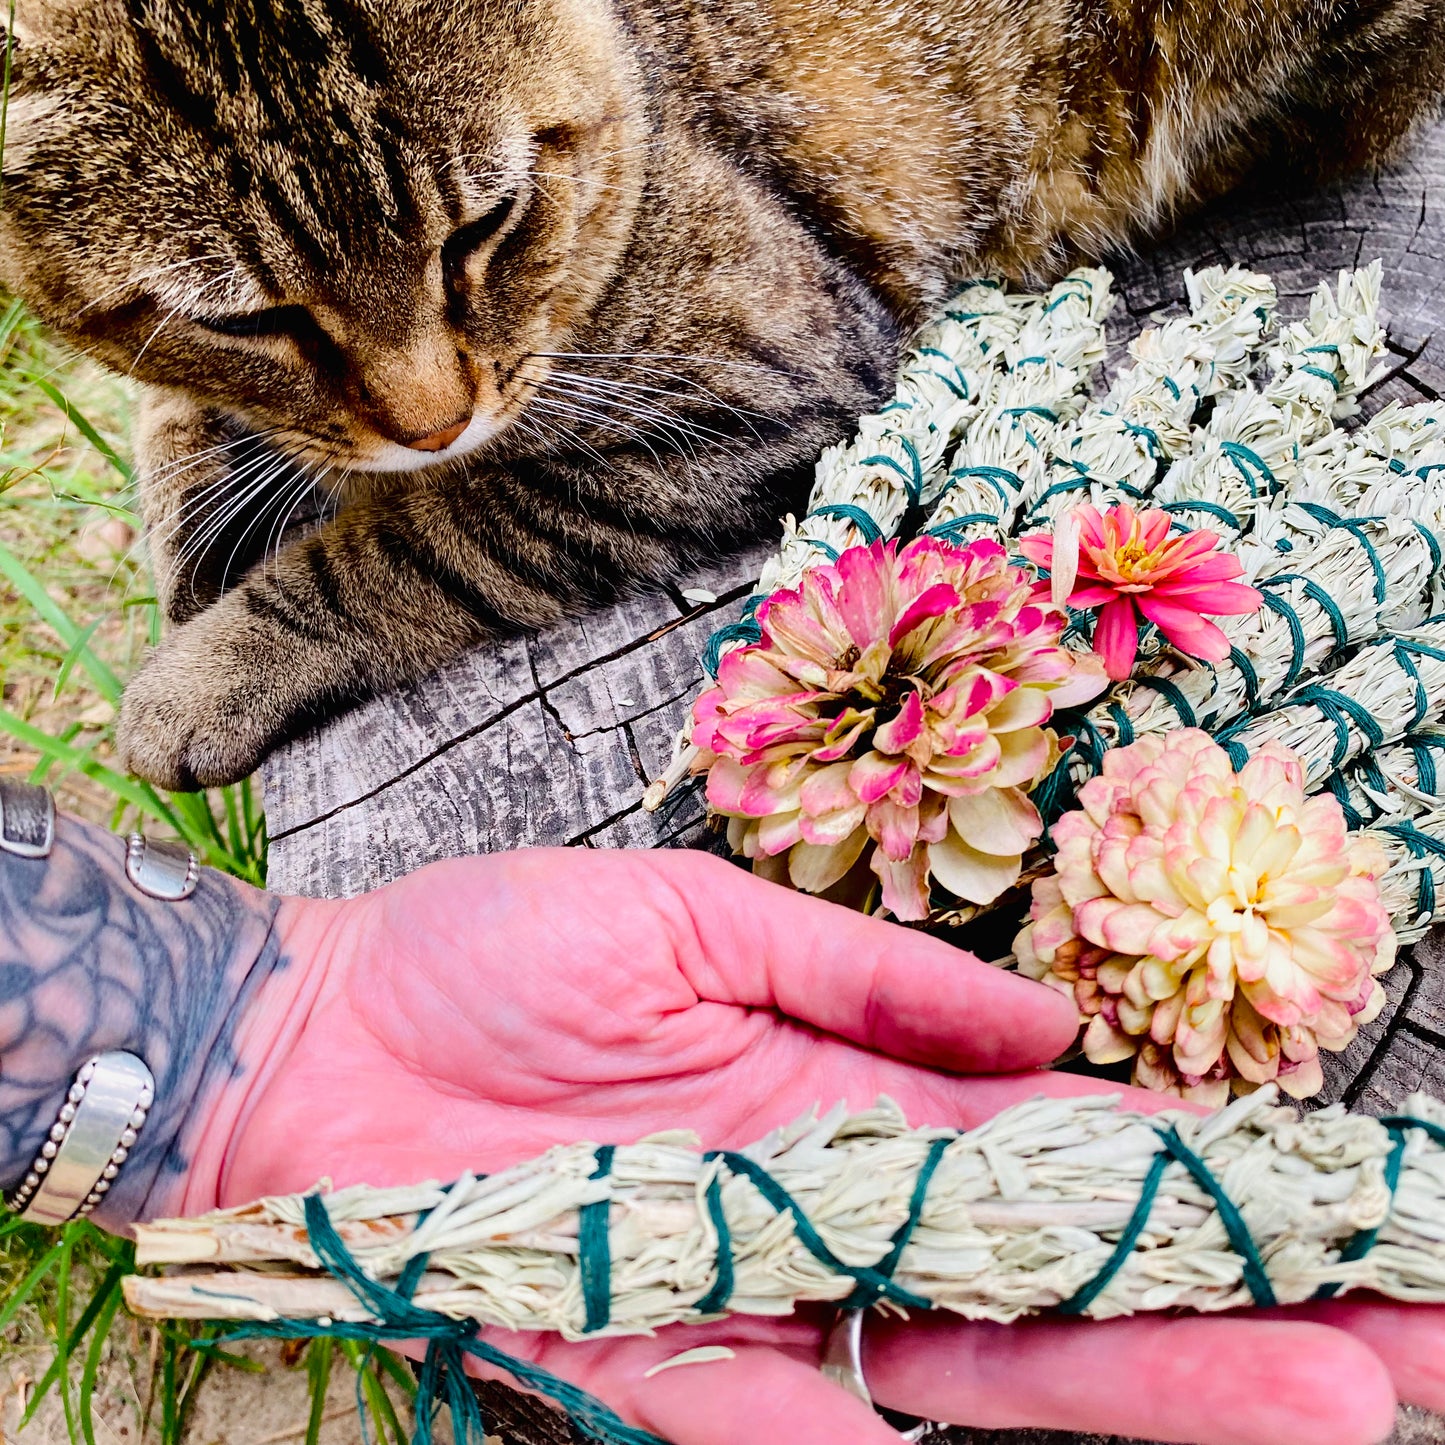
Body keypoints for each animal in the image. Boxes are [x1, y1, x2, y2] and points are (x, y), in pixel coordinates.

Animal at [2, 0, 1445, 791]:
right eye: (249, 317)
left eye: (485, 226)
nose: (431, 420)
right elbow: (178, 426)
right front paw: (201, 507)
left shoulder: (761, 379)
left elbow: (417, 543)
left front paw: (207, 666)